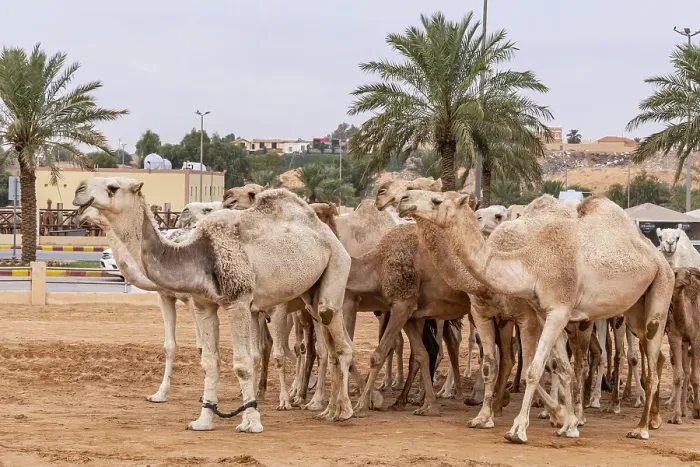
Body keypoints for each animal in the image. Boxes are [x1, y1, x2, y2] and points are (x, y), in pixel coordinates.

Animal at [73, 178, 354, 432]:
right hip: (308, 294)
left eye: (113, 187)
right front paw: (203, 420)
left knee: (337, 338)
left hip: (336, 265)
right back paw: (330, 407)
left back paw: (341, 410)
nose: (79, 190)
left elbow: (242, 363)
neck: (195, 253)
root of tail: (325, 231)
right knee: (326, 335)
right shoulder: (202, 304)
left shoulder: (238, 300)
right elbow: (209, 360)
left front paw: (251, 422)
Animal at [398, 190, 674, 442]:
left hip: (660, 292)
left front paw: (519, 430)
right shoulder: (542, 314)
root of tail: (658, 256)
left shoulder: (555, 312)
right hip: (634, 310)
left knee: (650, 364)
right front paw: (567, 425)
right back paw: (649, 419)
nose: (403, 200)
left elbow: (534, 369)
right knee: (653, 355)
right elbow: (560, 367)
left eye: (436, 200)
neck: (532, 264)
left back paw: (641, 428)